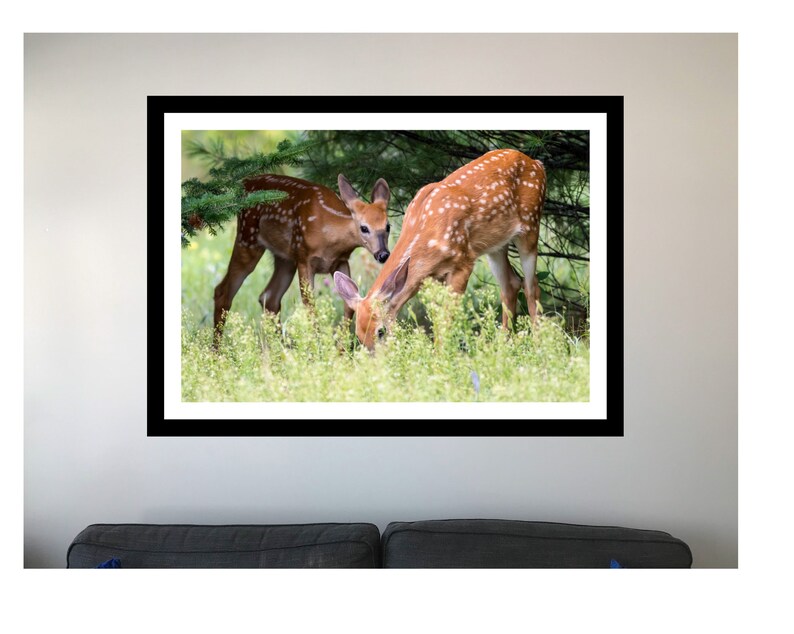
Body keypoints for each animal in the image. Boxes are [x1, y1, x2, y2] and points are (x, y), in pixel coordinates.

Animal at [213, 173, 392, 338]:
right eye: (364, 228)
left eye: (388, 226)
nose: (383, 254)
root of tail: (245, 182)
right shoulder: (305, 258)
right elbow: (310, 305)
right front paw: (318, 346)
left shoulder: (341, 261)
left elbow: (349, 305)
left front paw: (341, 347)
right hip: (247, 240)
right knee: (222, 291)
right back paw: (217, 349)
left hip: (285, 258)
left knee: (269, 297)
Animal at [333, 149, 545, 350]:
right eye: (359, 336)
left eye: (381, 331)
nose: (378, 361)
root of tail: (536, 163)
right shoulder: (433, 276)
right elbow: (437, 318)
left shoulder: (463, 262)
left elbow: (447, 318)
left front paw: (442, 355)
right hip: (496, 245)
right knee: (510, 284)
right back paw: (502, 345)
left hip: (530, 226)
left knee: (531, 285)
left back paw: (538, 344)